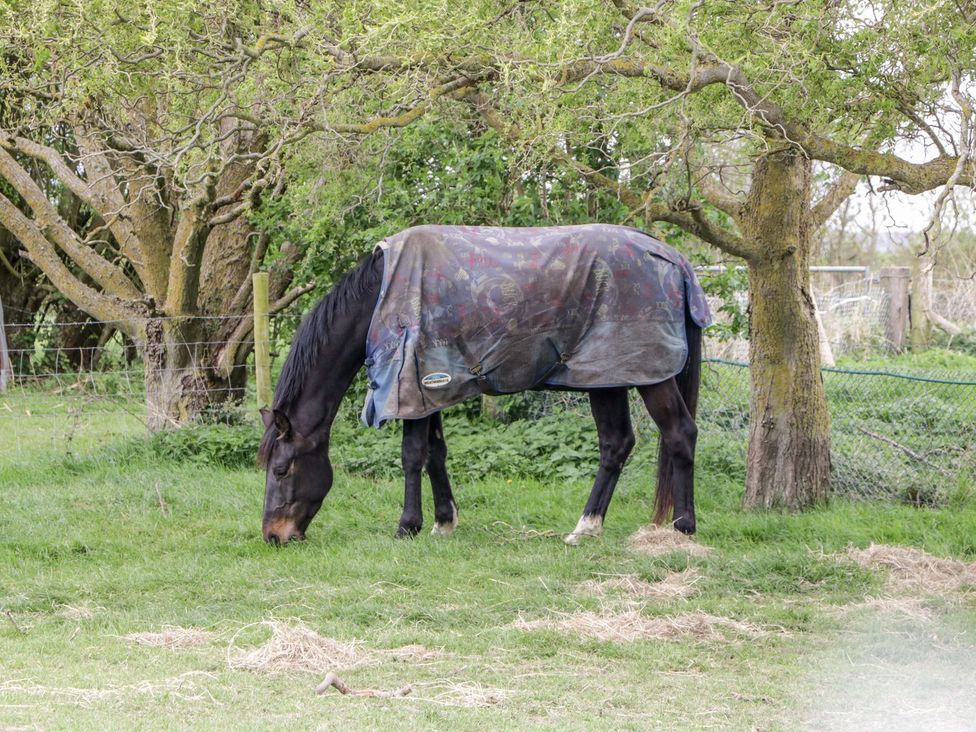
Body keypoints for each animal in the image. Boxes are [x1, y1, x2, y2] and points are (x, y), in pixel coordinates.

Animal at [258, 224, 709, 546]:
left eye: (281, 469)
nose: (273, 536)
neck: (383, 299)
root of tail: (671, 258)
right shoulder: (431, 389)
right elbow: (436, 453)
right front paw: (444, 521)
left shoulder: (413, 387)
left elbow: (412, 455)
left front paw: (407, 526)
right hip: (607, 376)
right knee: (616, 444)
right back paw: (586, 527)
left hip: (648, 376)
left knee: (680, 433)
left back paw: (683, 526)